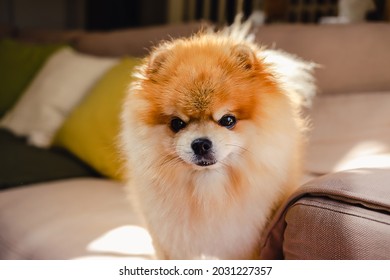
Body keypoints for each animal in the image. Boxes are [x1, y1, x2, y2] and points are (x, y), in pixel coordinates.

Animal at [119, 19, 316, 260]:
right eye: (177, 123)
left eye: (228, 120)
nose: (201, 143)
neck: (209, 190)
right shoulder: (171, 242)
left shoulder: (245, 243)